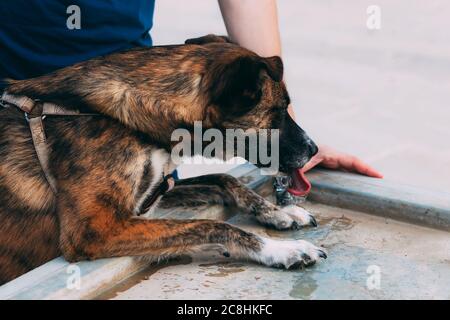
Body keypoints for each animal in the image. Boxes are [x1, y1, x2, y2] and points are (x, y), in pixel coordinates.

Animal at [0, 35, 326, 284]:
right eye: (279, 112)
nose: (314, 150)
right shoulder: (95, 231)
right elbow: (211, 225)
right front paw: (279, 250)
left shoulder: (153, 194)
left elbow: (224, 179)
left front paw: (279, 212)